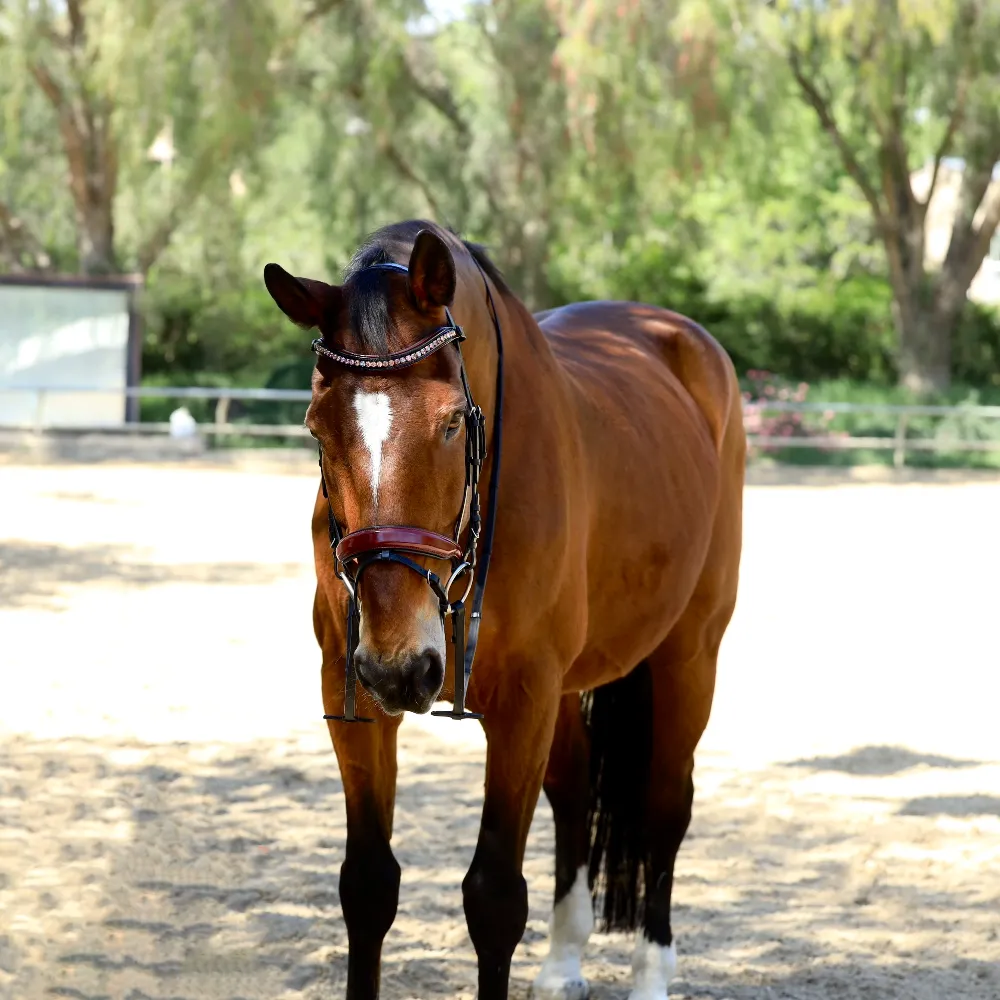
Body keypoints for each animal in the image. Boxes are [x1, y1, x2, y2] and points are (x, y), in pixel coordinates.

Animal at [262, 221, 748, 1000]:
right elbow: (367, 885)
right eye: (316, 428)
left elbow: (493, 898)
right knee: (575, 791)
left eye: (452, 424)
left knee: (666, 805)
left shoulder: (525, 698)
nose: (400, 665)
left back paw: (650, 973)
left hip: (689, 654)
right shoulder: (350, 686)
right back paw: (563, 961)